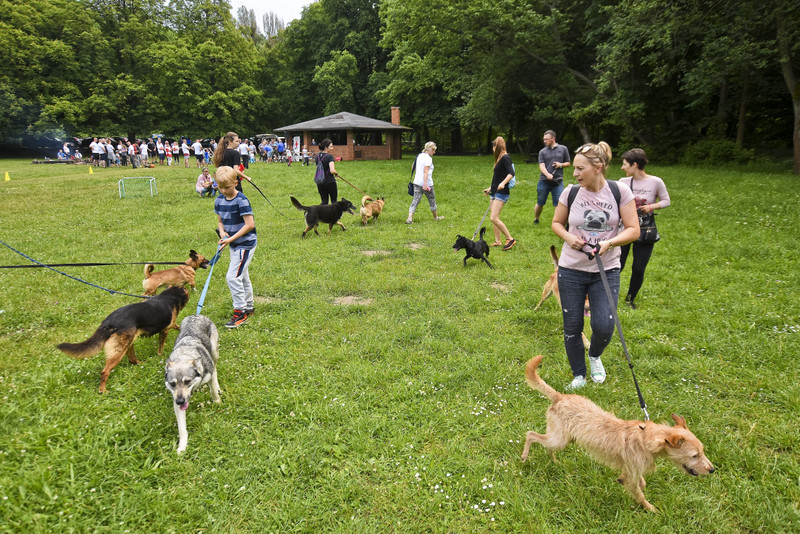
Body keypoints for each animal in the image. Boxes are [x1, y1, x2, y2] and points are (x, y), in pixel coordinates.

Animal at [56, 288, 189, 394]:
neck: (168, 296)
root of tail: (108, 321)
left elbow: (178, 326)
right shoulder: (165, 330)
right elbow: (162, 344)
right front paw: (160, 354)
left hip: (129, 341)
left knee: (132, 359)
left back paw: (140, 364)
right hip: (119, 349)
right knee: (105, 371)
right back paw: (102, 390)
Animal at [164, 316, 219, 454]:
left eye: (187, 381)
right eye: (172, 384)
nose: (180, 401)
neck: (184, 356)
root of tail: (195, 315)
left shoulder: (209, 376)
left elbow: (213, 391)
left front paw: (217, 402)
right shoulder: (176, 403)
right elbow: (182, 429)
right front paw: (182, 447)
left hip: (214, 351)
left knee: (215, 367)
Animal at [520, 358, 716, 512]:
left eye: (702, 451)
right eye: (694, 455)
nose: (712, 470)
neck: (645, 439)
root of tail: (559, 397)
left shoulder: (631, 470)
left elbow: (641, 483)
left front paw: (643, 488)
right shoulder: (630, 477)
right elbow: (639, 495)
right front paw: (652, 509)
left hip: (560, 439)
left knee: (545, 445)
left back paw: (553, 461)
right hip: (558, 439)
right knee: (531, 435)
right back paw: (524, 456)